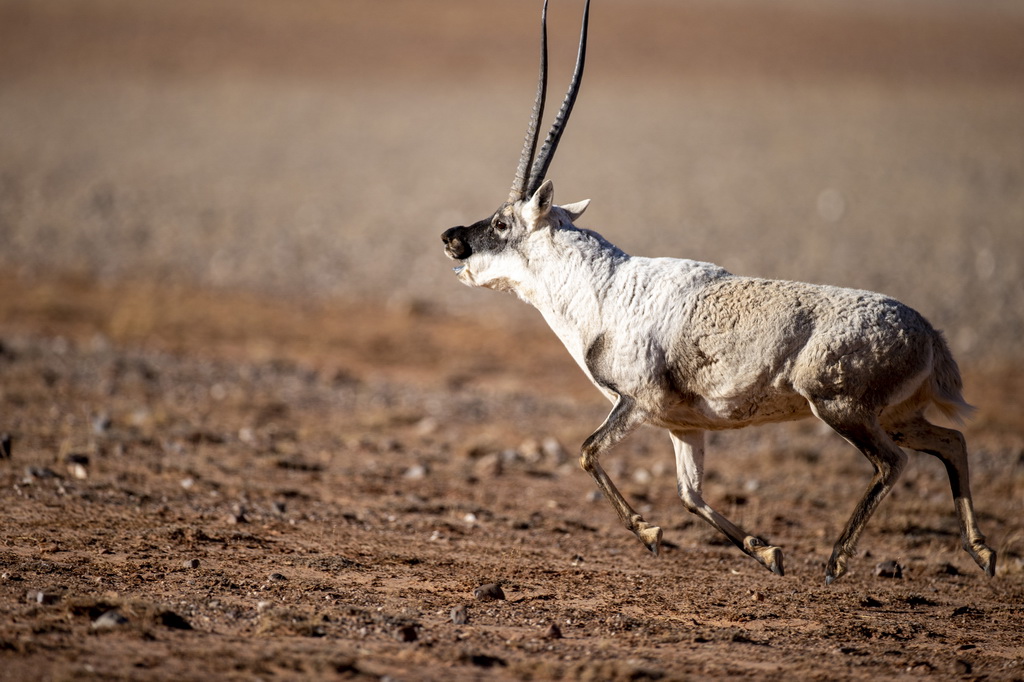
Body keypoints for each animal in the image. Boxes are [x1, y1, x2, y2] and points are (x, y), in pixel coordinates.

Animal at [438, 1, 991, 585]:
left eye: (502, 223)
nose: (452, 238)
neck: (603, 287)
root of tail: (930, 335)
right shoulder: (682, 425)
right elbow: (690, 494)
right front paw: (766, 551)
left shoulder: (636, 403)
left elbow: (588, 452)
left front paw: (650, 535)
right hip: (895, 416)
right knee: (951, 442)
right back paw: (982, 553)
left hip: (842, 408)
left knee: (893, 463)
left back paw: (837, 560)